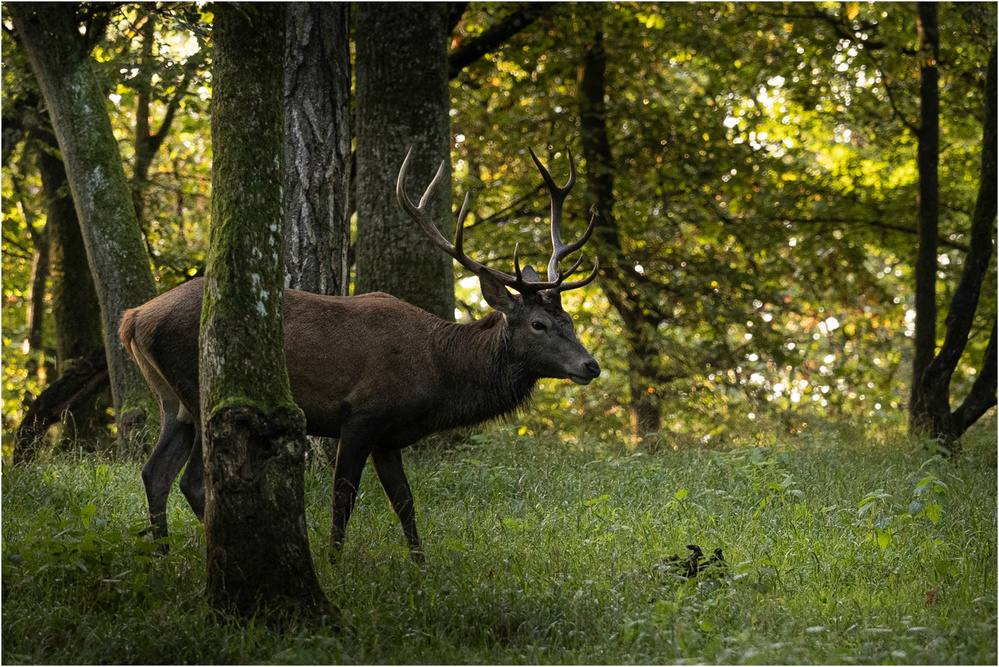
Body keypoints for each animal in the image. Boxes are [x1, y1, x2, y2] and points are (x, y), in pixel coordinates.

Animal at [119, 148, 600, 563]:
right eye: (538, 324)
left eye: (571, 320)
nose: (590, 365)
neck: (439, 371)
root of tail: (134, 317)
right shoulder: (361, 414)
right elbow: (343, 498)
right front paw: (334, 562)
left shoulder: (389, 436)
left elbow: (405, 503)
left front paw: (420, 568)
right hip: (203, 386)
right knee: (193, 481)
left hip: (172, 400)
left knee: (154, 472)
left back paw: (162, 554)